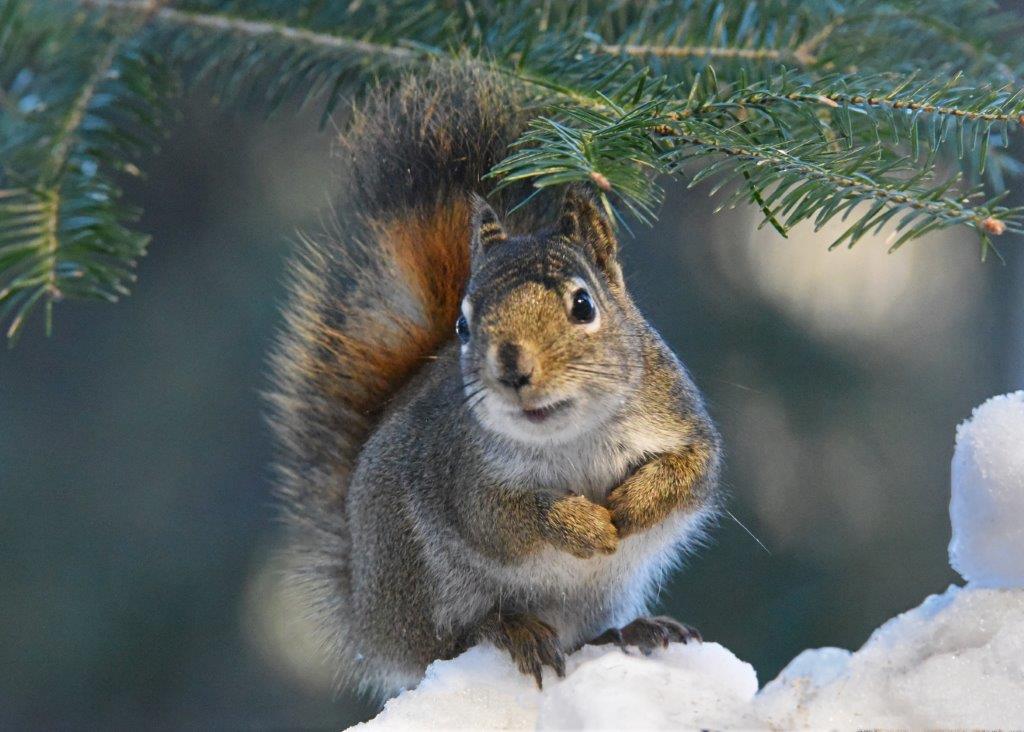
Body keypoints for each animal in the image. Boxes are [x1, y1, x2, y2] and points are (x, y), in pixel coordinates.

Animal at [268, 64, 722, 698]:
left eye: (583, 305)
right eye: (463, 324)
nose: (512, 368)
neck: (571, 436)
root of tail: (367, 616)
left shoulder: (678, 415)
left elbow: (692, 472)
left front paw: (632, 506)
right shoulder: (463, 473)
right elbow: (502, 520)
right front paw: (583, 525)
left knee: (587, 633)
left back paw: (634, 630)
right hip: (418, 576)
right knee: (451, 640)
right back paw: (512, 630)